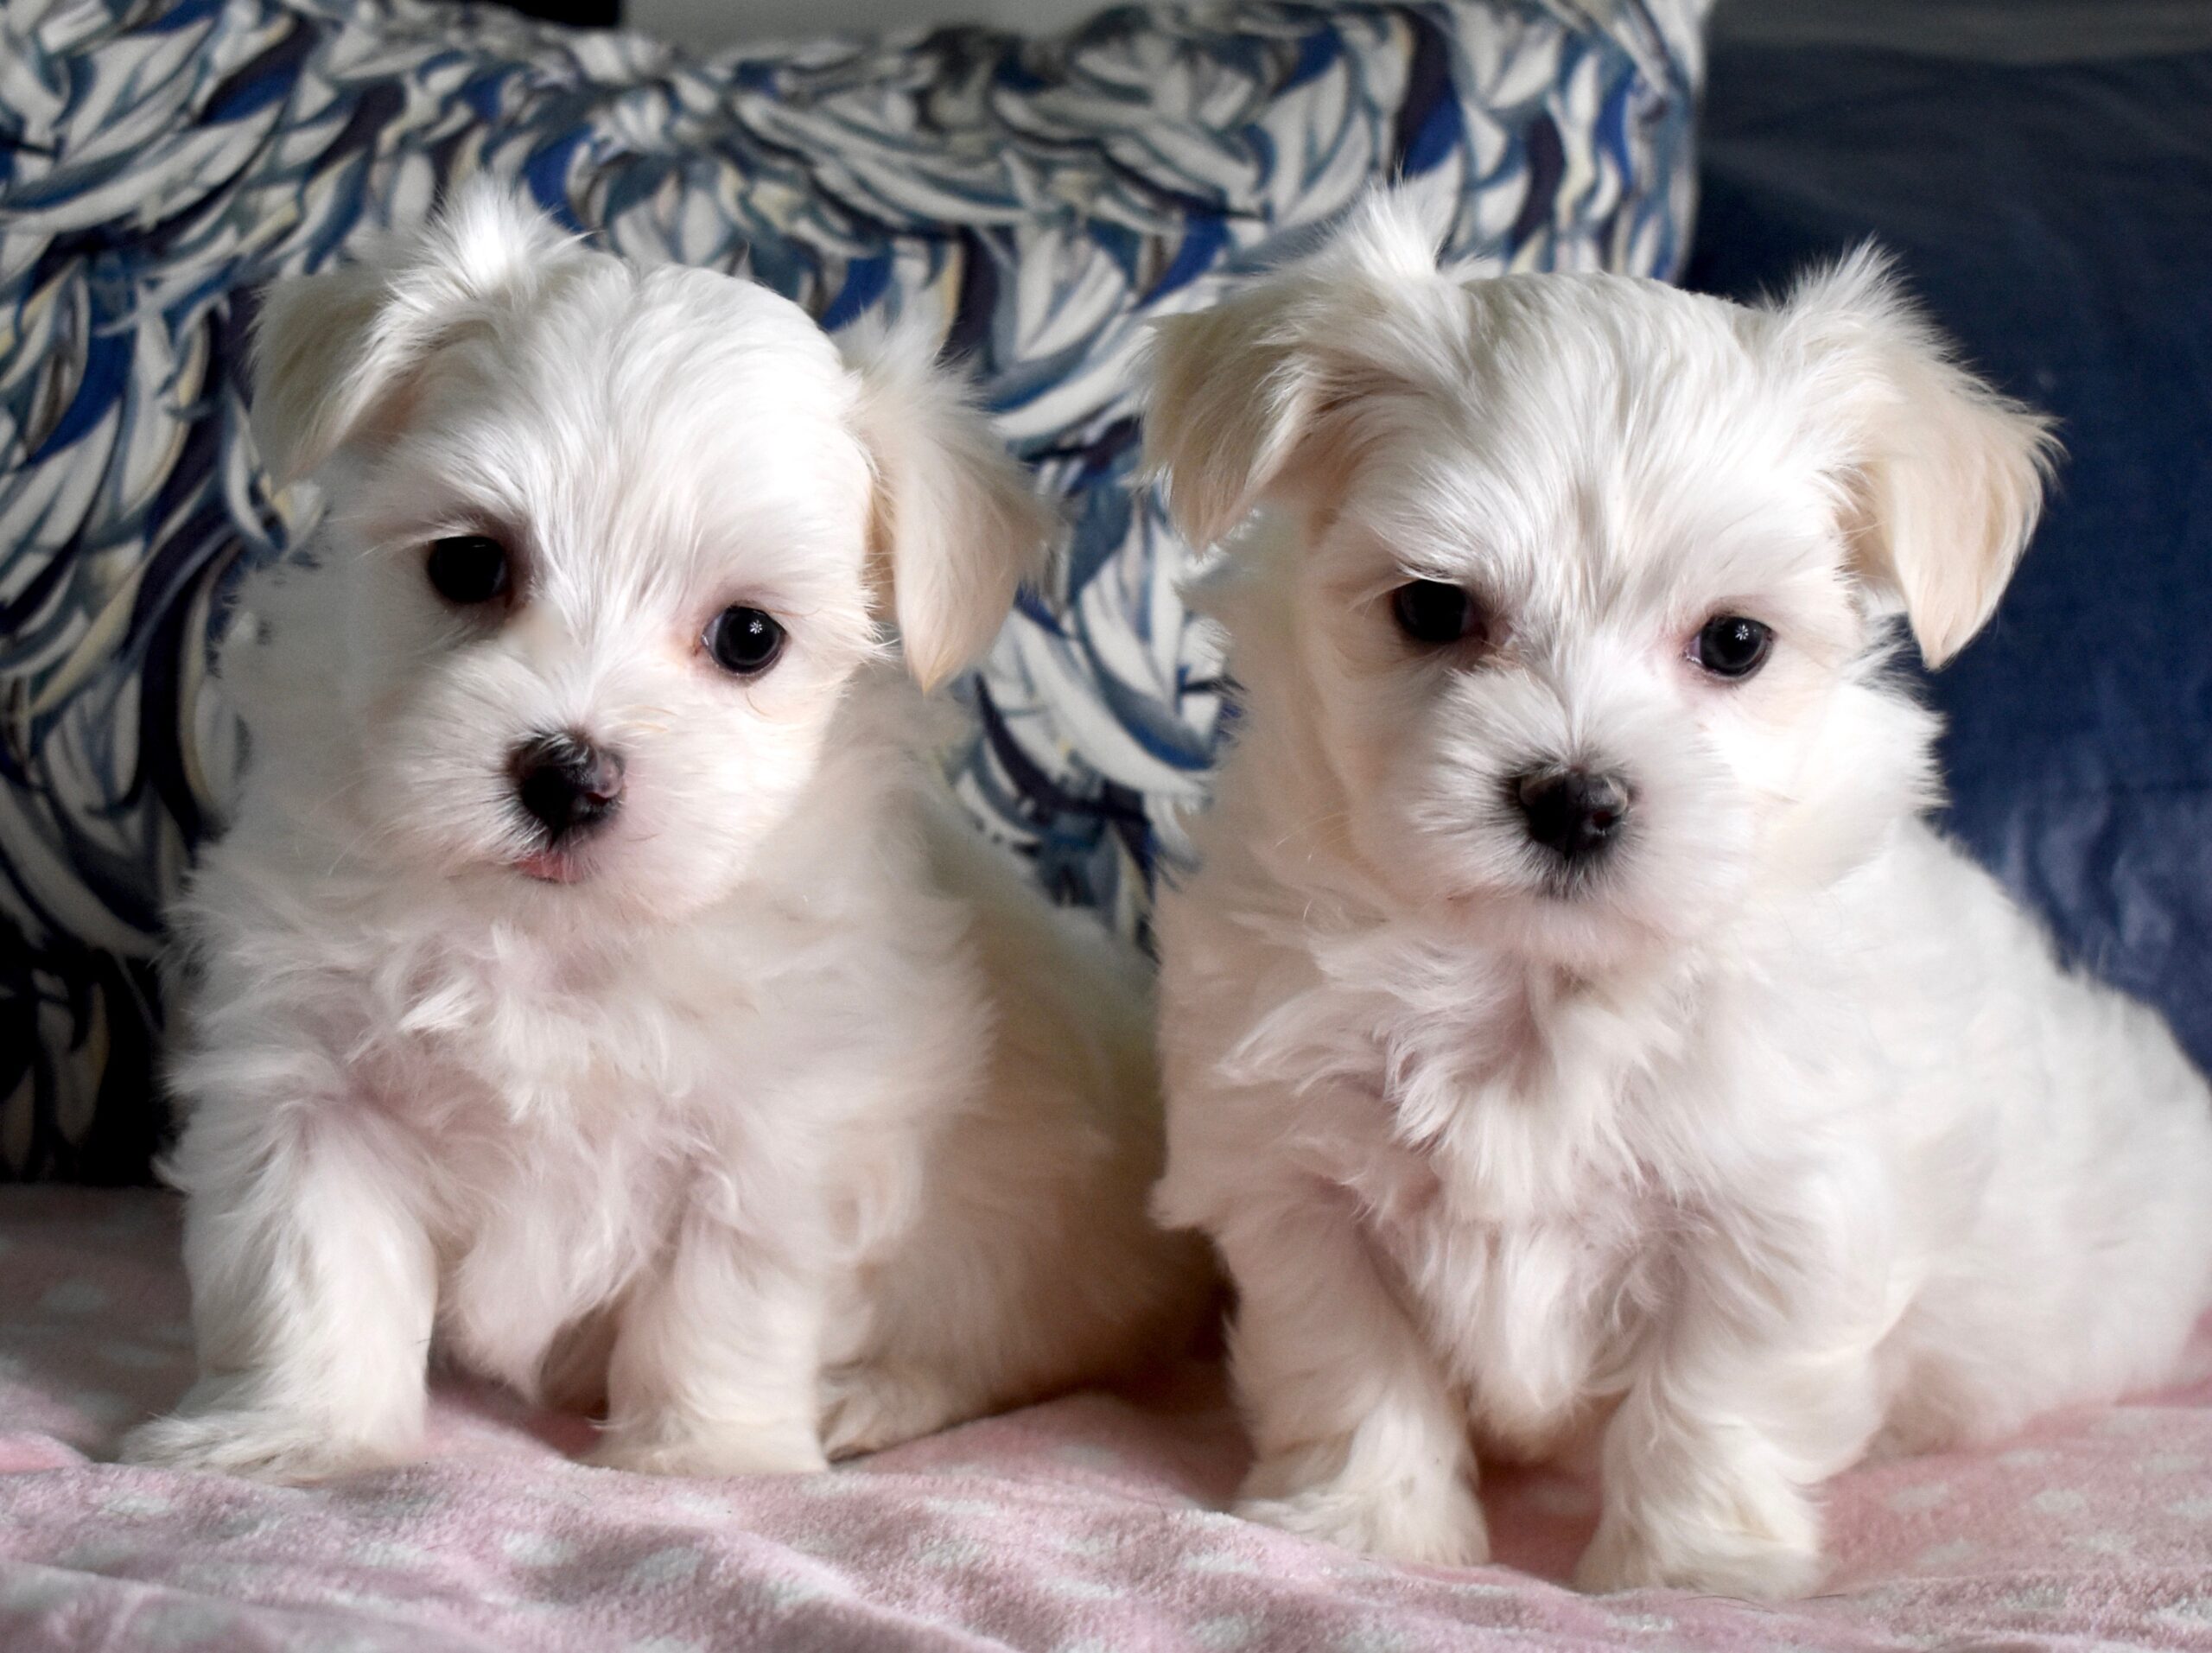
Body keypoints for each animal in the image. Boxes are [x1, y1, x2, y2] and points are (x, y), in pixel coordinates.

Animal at [123, 184, 1211, 1486]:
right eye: (469, 563)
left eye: (748, 636)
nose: (569, 775)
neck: (556, 934)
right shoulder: (310, 1089)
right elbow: (313, 1271)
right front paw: (297, 1438)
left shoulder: (779, 1136)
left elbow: (721, 1301)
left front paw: (705, 1459)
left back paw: (869, 1398)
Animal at [1150, 196, 2212, 1602]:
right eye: (1432, 608)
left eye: (1735, 643)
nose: (1574, 798)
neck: (1534, 982)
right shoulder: (1295, 1177)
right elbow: (1355, 1357)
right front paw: (1370, 1526)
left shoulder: (1777, 1212)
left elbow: (1710, 1398)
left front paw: (1688, 1571)